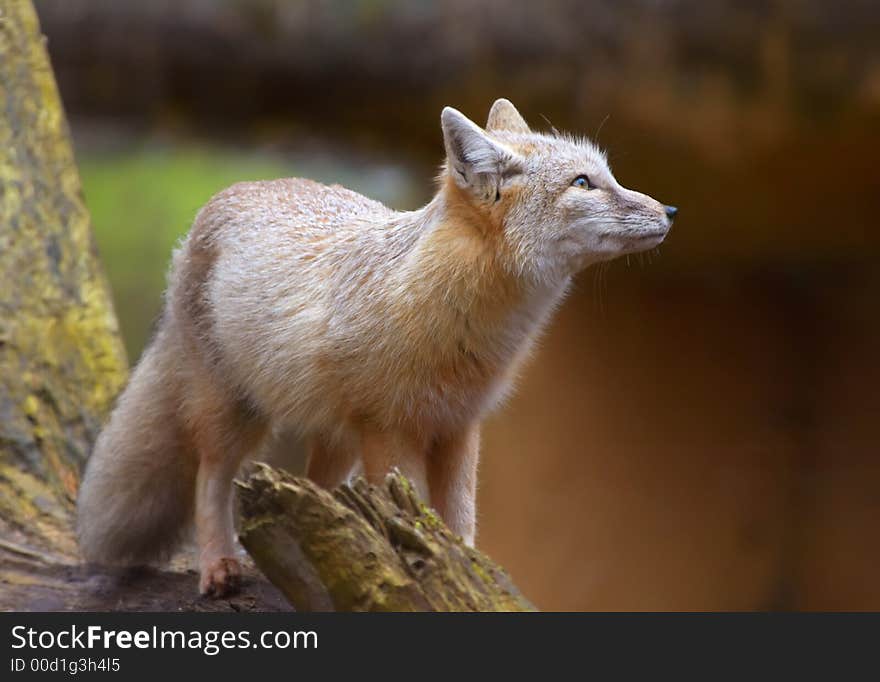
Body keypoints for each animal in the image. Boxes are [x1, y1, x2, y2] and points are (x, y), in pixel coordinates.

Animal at [77, 97, 680, 596]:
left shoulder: (457, 428)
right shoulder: (392, 432)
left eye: (608, 176)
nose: (670, 212)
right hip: (237, 415)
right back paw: (218, 565)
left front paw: (467, 575)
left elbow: (459, 523)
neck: (459, 327)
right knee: (211, 479)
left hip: (336, 438)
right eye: (584, 183)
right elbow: (416, 516)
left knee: (314, 490)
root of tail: (231, 193)